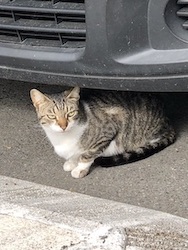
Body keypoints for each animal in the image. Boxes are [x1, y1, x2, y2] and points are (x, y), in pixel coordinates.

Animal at [30, 87, 176, 179]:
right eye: (52, 116)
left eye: (70, 114)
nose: (63, 126)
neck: (63, 138)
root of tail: (167, 121)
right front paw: (72, 162)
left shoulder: (110, 127)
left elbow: (88, 154)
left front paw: (80, 168)